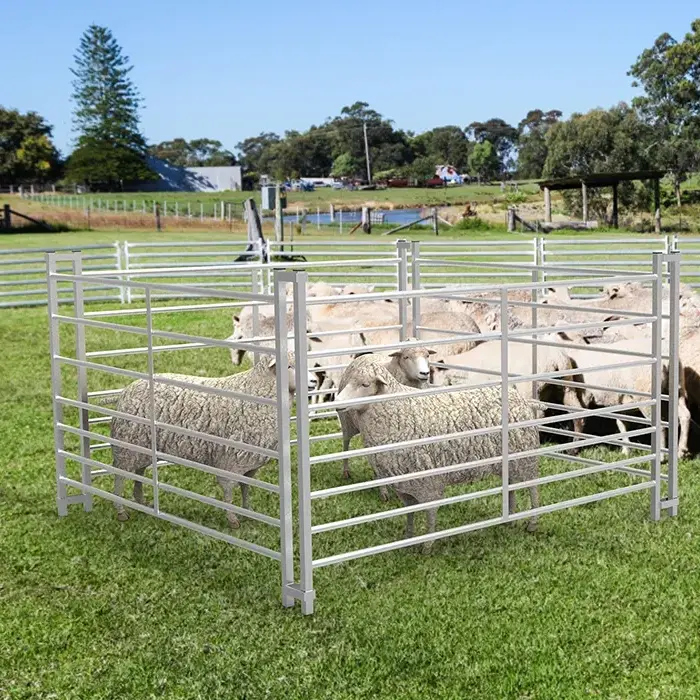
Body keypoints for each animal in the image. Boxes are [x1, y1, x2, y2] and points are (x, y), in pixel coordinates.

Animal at [110, 354, 317, 526]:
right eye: (288, 366)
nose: (314, 381)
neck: (256, 392)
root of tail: (126, 390)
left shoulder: (249, 462)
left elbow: (246, 488)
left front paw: (248, 512)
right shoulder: (230, 461)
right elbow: (228, 491)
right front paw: (233, 519)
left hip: (140, 449)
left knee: (138, 473)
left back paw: (141, 501)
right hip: (126, 447)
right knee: (119, 477)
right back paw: (120, 511)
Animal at [334, 355, 540, 552]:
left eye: (365, 384)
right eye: (349, 381)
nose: (337, 403)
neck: (397, 407)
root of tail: (522, 398)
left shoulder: (428, 481)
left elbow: (430, 512)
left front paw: (427, 545)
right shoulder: (404, 483)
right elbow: (409, 511)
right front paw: (408, 539)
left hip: (526, 458)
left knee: (533, 488)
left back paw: (532, 523)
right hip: (510, 461)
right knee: (511, 486)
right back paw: (510, 518)